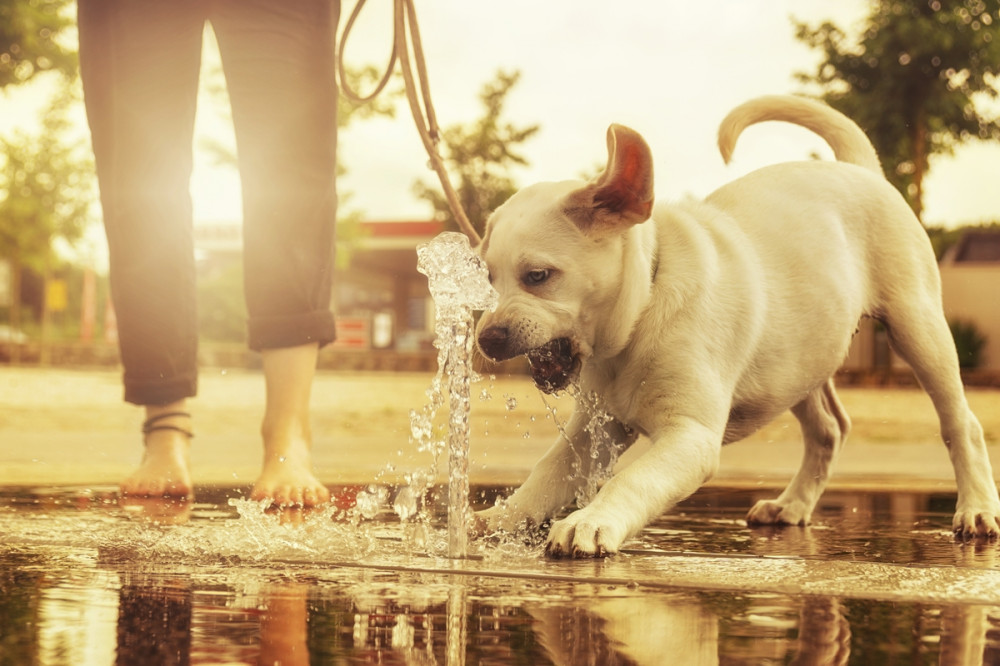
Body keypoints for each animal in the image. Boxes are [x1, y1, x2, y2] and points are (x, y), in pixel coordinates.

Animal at [474, 93, 1000, 556]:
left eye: (538, 276)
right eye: (488, 277)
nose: (487, 338)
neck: (643, 311)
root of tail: (859, 168)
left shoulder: (690, 437)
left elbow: (632, 479)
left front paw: (590, 521)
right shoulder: (594, 432)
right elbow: (545, 474)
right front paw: (500, 519)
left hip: (918, 327)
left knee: (961, 423)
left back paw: (976, 509)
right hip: (801, 359)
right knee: (829, 429)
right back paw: (792, 506)